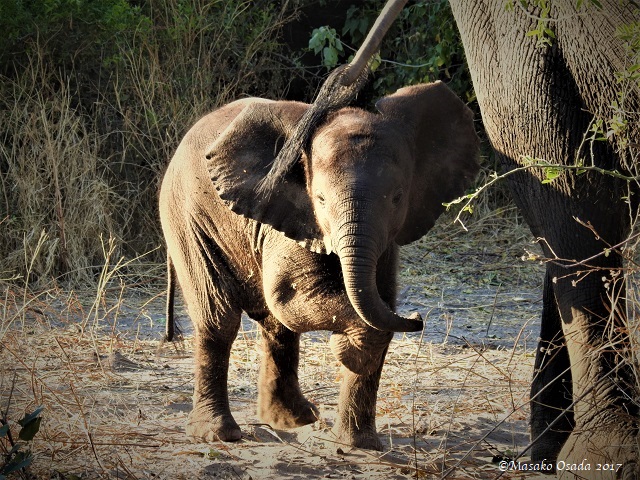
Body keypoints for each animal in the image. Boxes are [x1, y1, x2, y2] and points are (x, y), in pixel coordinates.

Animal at [159, 81, 479, 449]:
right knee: (219, 317)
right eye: (321, 199)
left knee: (275, 325)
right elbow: (291, 296)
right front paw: (349, 349)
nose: (417, 317)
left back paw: (293, 419)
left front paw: (359, 444)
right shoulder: (287, 213)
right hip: (187, 215)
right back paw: (219, 433)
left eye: (398, 198)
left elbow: (376, 302)